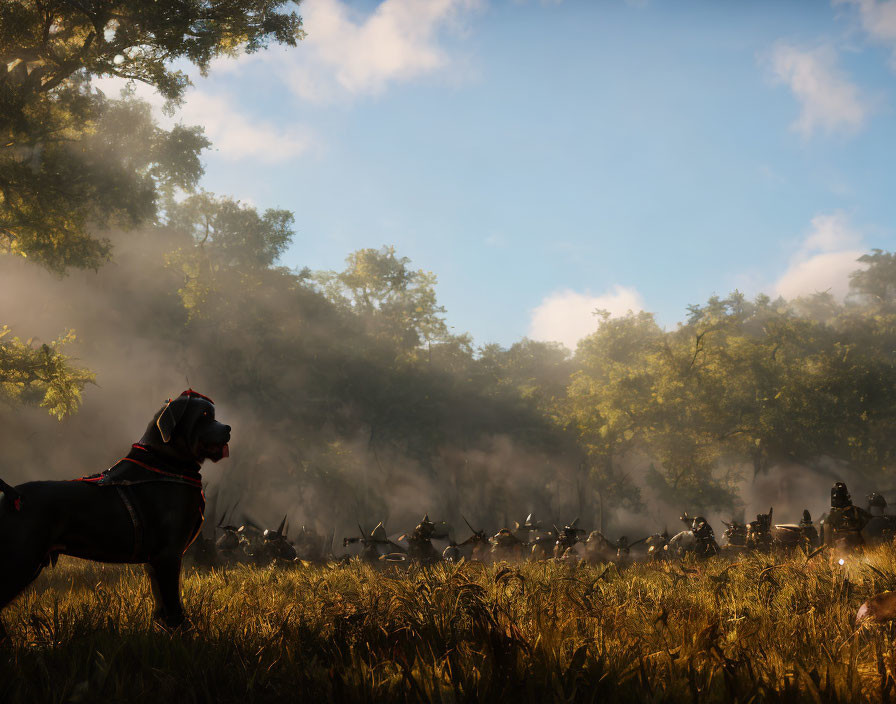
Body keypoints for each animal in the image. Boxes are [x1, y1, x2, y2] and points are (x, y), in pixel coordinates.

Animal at [0, 388, 231, 636]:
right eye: (204, 416)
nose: (228, 428)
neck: (166, 463)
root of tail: (13, 494)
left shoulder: (155, 561)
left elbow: (161, 602)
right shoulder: (169, 554)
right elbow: (172, 602)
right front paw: (183, 633)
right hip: (20, 559)